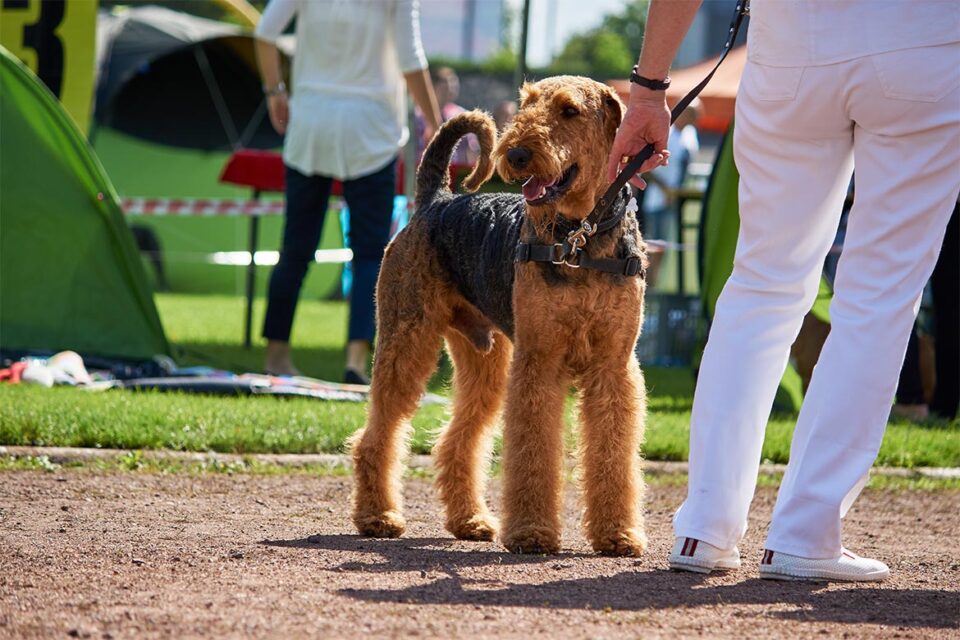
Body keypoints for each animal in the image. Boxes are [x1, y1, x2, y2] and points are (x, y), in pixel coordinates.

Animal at [348, 76, 648, 556]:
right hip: (406, 341)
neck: (580, 238)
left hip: (484, 358)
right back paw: (379, 517)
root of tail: (436, 201)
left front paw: (618, 534)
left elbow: (613, 455)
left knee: (456, 441)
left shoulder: (613, 368)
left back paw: (470, 521)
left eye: (569, 110)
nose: (517, 154)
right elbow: (532, 452)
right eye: (526, 103)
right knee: (377, 434)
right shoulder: (538, 363)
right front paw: (531, 532)